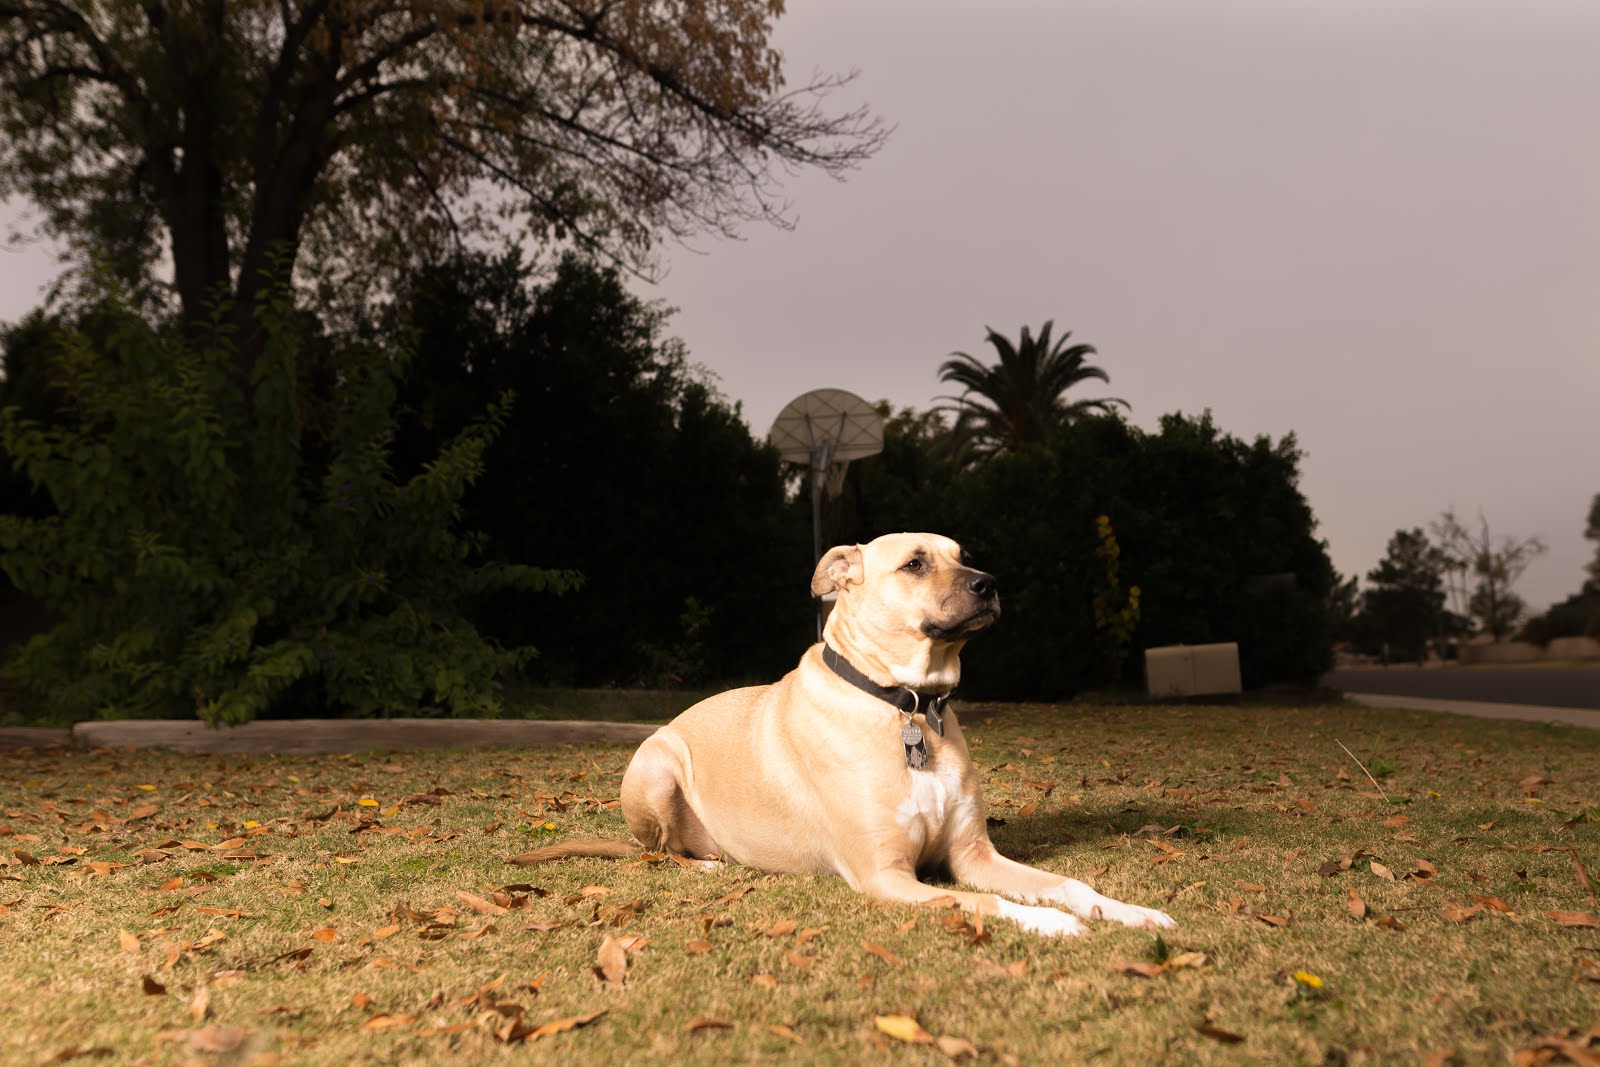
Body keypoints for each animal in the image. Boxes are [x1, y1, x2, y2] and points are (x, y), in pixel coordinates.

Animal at [515, 532, 1175, 937]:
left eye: (964, 554)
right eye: (914, 563)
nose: (988, 582)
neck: (906, 706)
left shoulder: (973, 856)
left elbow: (1065, 881)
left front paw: (1128, 911)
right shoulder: (889, 877)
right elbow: (986, 902)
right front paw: (1053, 924)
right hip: (657, 762)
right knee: (659, 851)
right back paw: (703, 864)